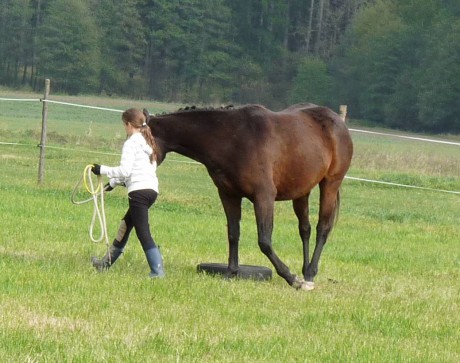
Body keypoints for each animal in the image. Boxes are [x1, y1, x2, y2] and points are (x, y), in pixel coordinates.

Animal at [146, 104, 354, 292]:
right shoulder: (228, 195)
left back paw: (309, 275)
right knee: (305, 229)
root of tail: (337, 122)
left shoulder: (264, 196)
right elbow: (233, 234)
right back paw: (306, 272)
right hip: (302, 191)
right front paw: (231, 273)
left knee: (322, 229)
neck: (232, 138)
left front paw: (290, 277)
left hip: (330, 184)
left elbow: (264, 241)